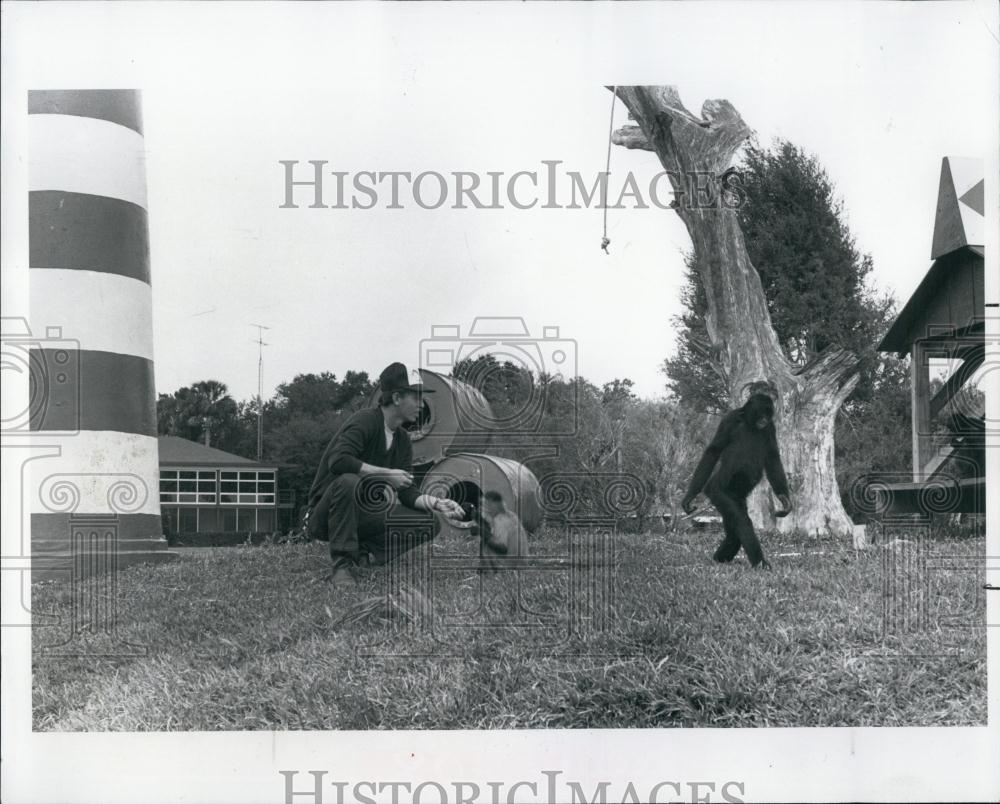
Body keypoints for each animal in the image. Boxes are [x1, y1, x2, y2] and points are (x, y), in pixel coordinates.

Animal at [680, 392, 796, 568]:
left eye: (768, 412)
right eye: (762, 411)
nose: (764, 419)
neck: (749, 423)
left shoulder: (770, 427)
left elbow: (772, 456)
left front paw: (784, 499)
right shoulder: (730, 419)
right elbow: (714, 450)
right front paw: (690, 495)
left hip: (739, 497)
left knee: (733, 534)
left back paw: (720, 558)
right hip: (717, 491)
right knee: (741, 521)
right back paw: (760, 564)